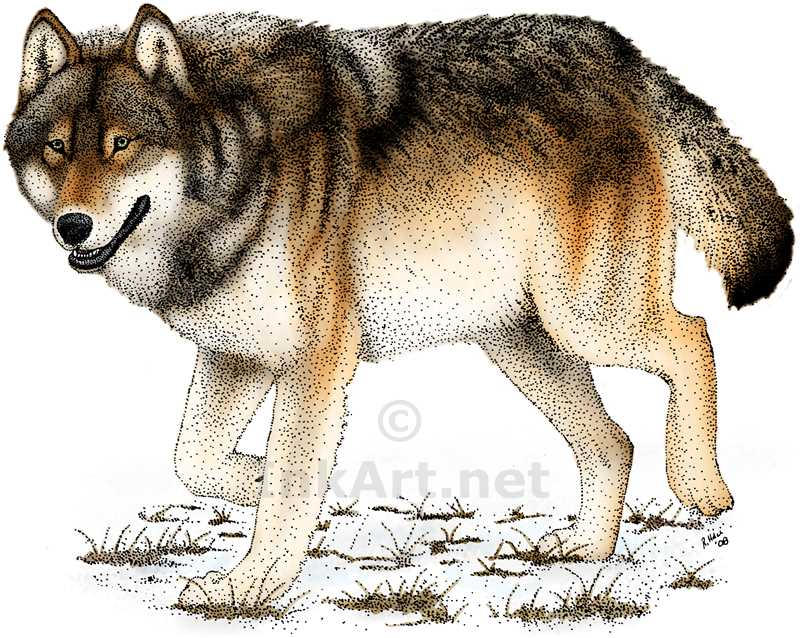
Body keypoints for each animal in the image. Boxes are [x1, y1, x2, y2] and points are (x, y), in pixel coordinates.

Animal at [6, 4, 792, 607]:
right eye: (56, 150)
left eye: (121, 145)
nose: (72, 226)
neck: (240, 168)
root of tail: (619, 54)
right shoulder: (237, 355)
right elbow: (193, 459)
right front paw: (261, 485)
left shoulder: (315, 359)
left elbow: (287, 480)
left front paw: (248, 586)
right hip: (525, 343)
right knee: (614, 440)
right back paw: (586, 548)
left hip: (589, 320)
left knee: (694, 337)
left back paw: (702, 486)